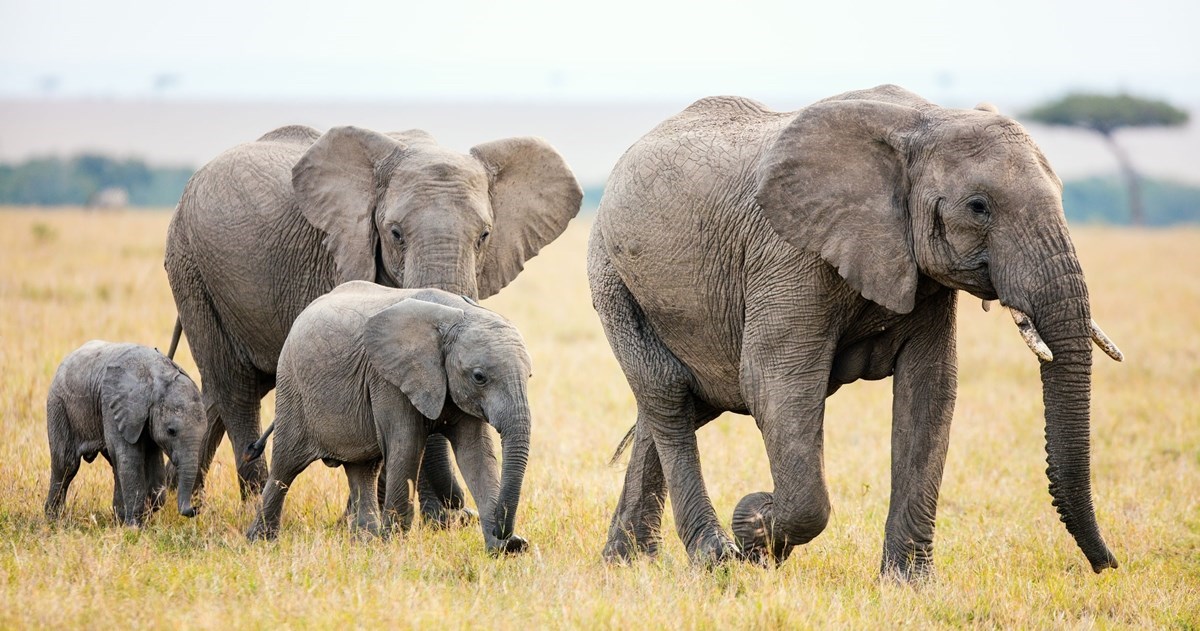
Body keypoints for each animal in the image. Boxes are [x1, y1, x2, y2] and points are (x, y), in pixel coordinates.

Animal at [44, 343, 204, 527]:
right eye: (171, 431)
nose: (196, 508)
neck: (158, 376)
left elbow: (152, 464)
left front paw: (143, 517)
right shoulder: (112, 405)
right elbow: (130, 459)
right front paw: (135, 526)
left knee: (113, 464)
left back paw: (118, 520)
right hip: (58, 405)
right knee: (66, 464)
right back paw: (53, 520)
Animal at [166, 125, 583, 523]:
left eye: (484, 236)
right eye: (395, 234)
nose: (460, 508)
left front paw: (434, 521)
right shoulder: (342, 254)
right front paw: (421, 521)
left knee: (218, 394)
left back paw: (173, 503)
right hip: (194, 270)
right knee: (235, 389)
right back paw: (240, 506)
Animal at [249, 281, 535, 554]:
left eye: (530, 376)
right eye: (479, 377)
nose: (505, 532)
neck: (456, 316)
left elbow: (476, 453)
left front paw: (506, 549)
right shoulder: (388, 380)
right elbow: (406, 446)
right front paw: (394, 546)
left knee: (363, 470)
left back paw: (365, 542)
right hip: (292, 389)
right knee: (286, 466)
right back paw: (260, 541)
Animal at [590, 86, 1123, 580]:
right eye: (978, 207)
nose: (1109, 566)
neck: (926, 121)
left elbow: (930, 391)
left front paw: (908, 585)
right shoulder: (789, 255)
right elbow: (775, 386)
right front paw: (755, 529)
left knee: (678, 405)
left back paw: (627, 563)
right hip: (612, 277)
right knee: (668, 396)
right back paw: (713, 558)